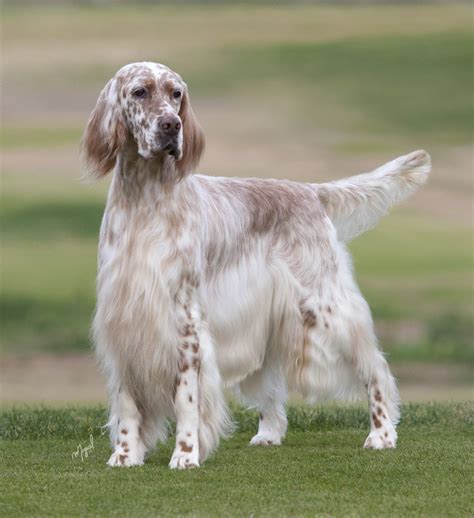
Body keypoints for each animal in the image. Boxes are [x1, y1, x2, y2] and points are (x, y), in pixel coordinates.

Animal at [81, 62, 430, 472]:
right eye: (140, 92)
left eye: (176, 94)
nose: (171, 125)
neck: (145, 200)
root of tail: (310, 192)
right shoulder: (121, 318)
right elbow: (126, 403)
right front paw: (125, 453)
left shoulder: (186, 320)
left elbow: (187, 398)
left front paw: (186, 453)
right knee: (272, 383)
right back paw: (269, 433)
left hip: (326, 307)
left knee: (375, 368)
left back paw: (382, 433)